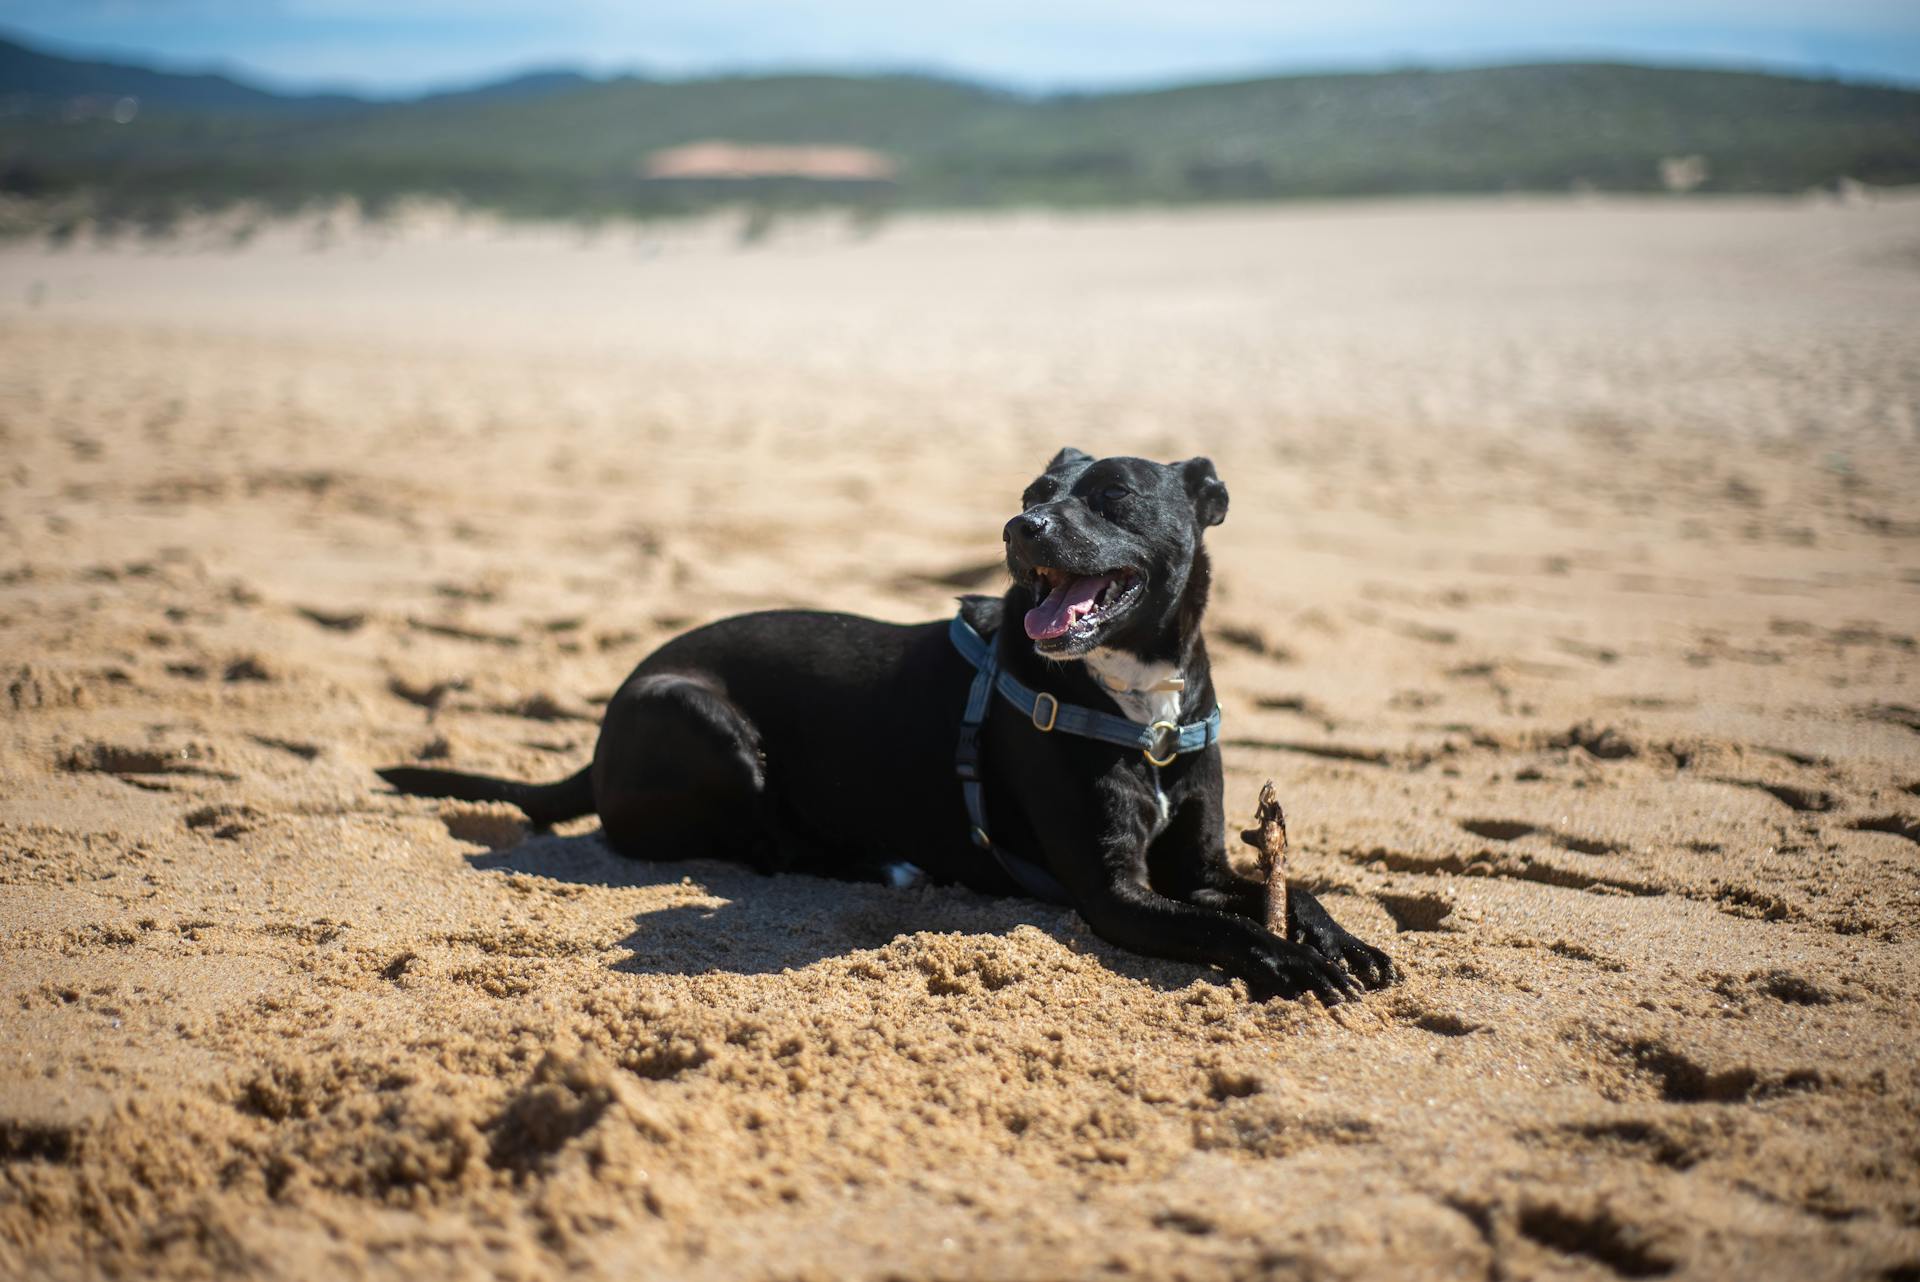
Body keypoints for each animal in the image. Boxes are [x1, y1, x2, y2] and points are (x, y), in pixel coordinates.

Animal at [378, 451, 1397, 997]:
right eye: (1033, 490)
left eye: (1113, 496)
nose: (1019, 528)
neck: (1135, 705)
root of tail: (594, 741)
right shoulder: (1113, 893)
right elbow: (1226, 930)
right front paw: (1288, 962)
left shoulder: (1199, 866)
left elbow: (1292, 892)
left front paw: (1344, 943)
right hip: (703, 721)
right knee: (765, 848)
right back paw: (878, 864)